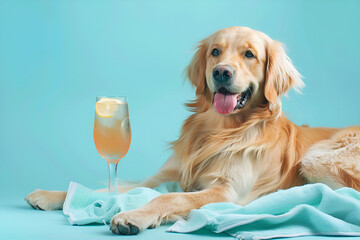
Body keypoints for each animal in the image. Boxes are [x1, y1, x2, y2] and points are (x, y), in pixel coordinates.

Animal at [26, 26, 360, 234]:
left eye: (249, 54)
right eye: (215, 52)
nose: (221, 72)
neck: (218, 132)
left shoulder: (227, 190)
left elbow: (169, 199)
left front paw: (134, 215)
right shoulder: (163, 176)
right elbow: (108, 189)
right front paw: (52, 194)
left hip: (315, 158)